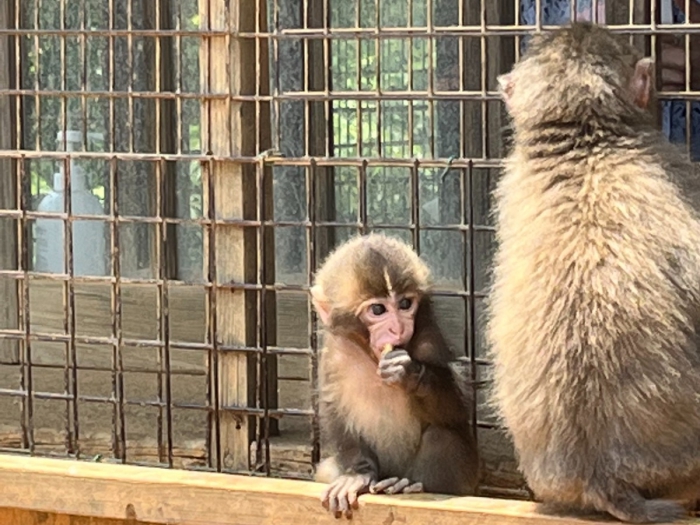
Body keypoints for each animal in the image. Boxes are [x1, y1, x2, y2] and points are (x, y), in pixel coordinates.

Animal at [310, 234, 476, 520]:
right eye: (378, 309)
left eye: (405, 304)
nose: (398, 328)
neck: (372, 358)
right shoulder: (334, 355)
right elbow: (335, 412)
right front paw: (357, 474)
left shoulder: (428, 340)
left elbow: (457, 412)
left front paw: (410, 374)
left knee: (442, 436)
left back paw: (408, 484)